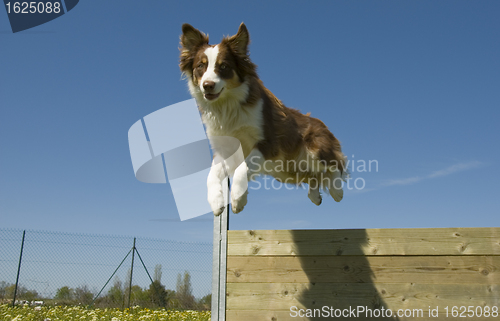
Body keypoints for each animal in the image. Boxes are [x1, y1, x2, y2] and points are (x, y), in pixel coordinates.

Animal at [180, 21, 348, 212]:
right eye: (200, 66)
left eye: (223, 66)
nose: (207, 85)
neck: (227, 106)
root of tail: (321, 123)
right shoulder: (225, 148)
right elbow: (211, 175)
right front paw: (216, 201)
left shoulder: (268, 142)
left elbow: (242, 168)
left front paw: (238, 199)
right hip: (286, 171)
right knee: (313, 176)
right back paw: (315, 196)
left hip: (315, 148)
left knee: (335, 165)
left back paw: (337, 190)